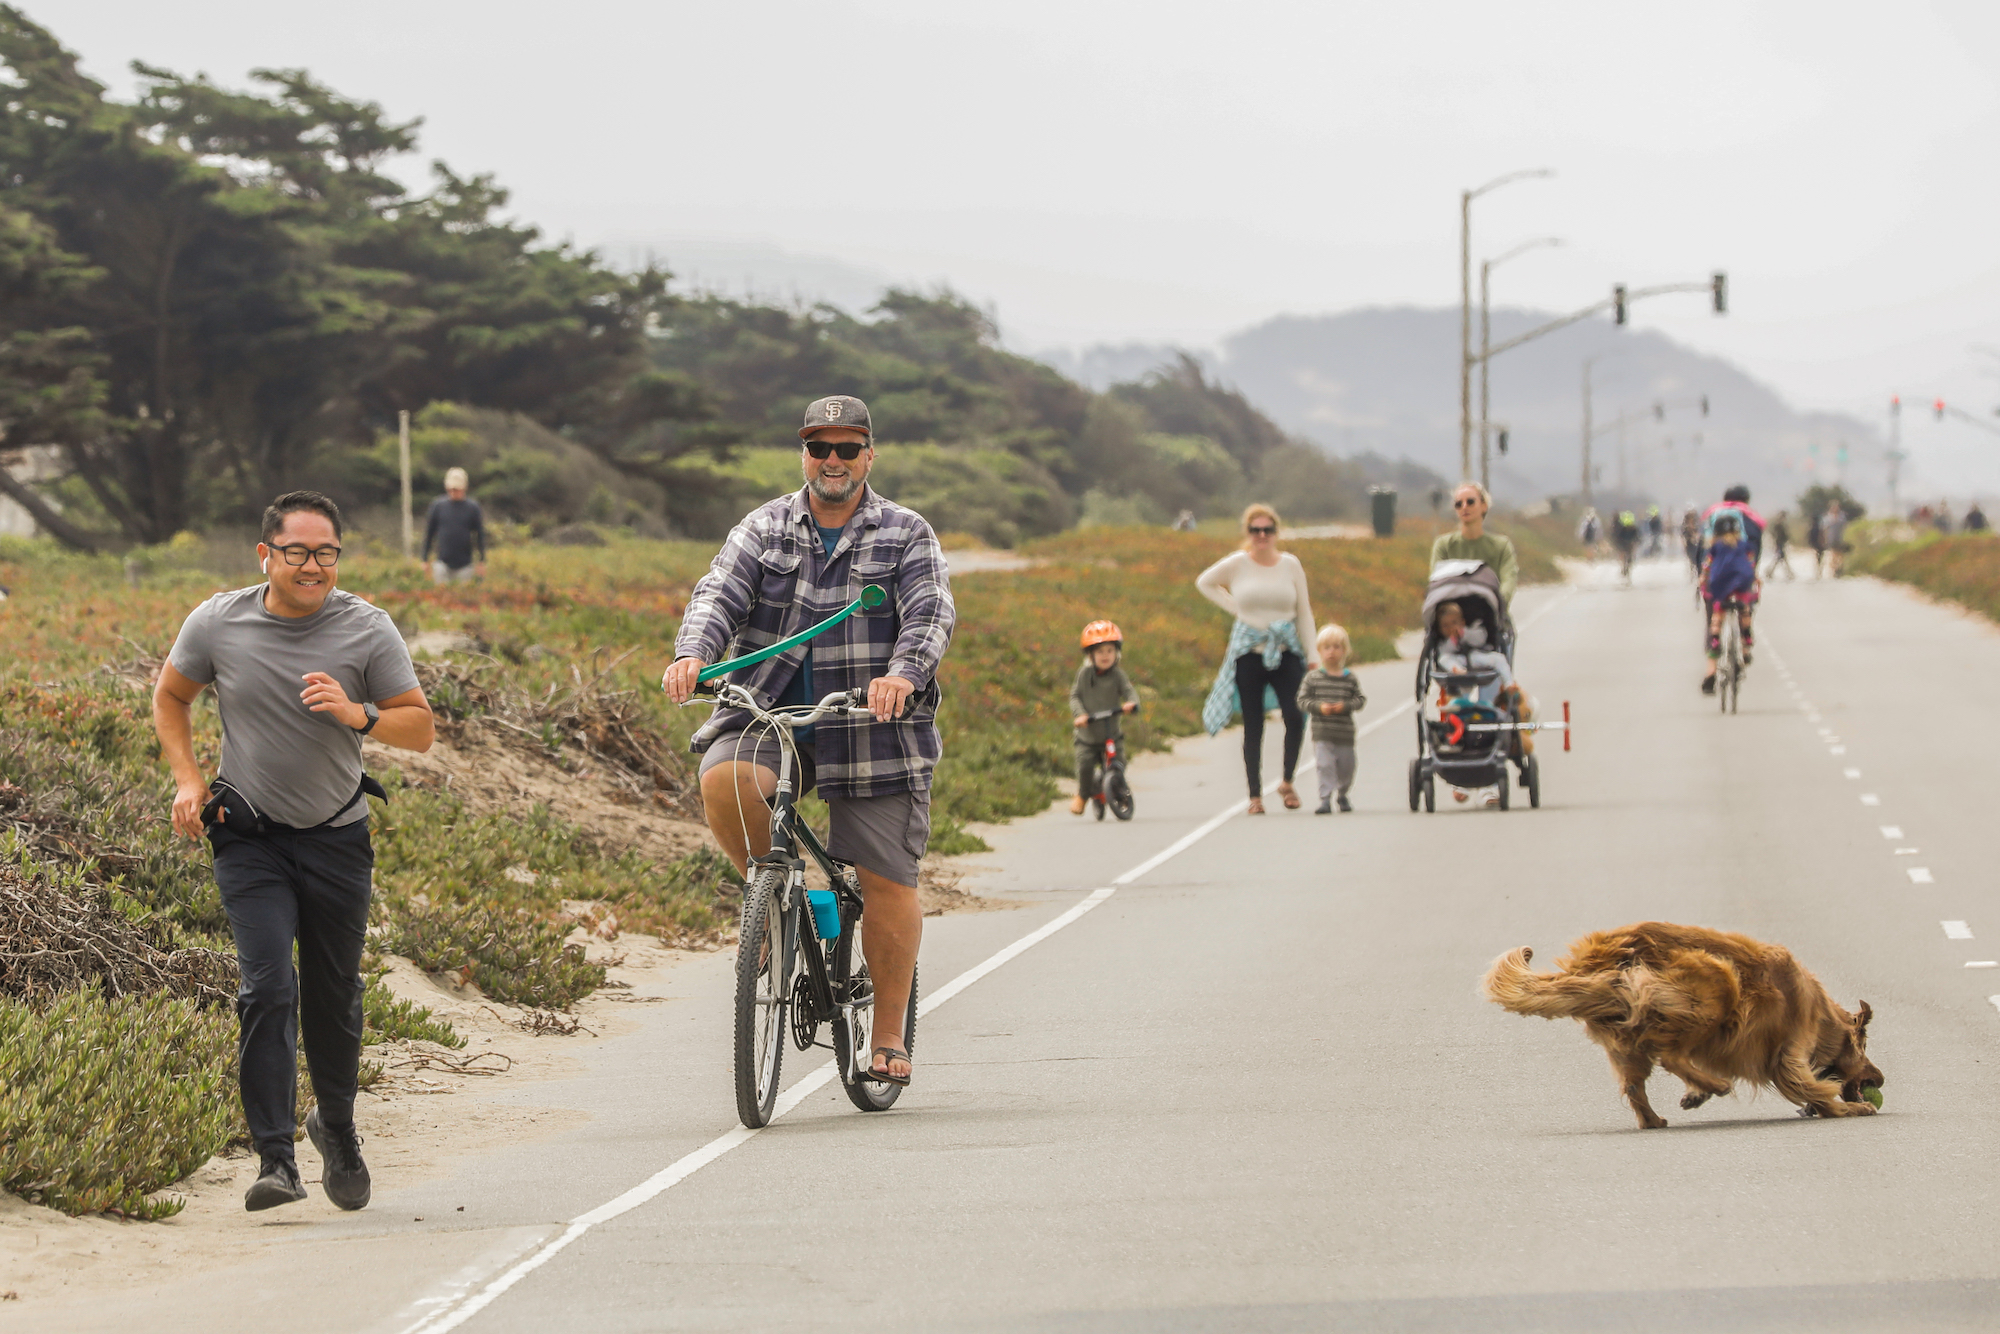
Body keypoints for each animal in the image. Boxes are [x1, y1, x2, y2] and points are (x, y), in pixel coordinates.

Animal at [1480, 924, 1880, 1136]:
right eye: (1864, 1049)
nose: (1881, 1079)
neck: (1822, 1015)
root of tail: (1601, 959)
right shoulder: (1789, 1054)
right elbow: (1812, 1087)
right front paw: (1848, 1109)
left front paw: (1693, 1095)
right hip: (1718, 983)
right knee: (1671, 1054)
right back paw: (1716, 1085)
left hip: (1627, 1040)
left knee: (1637, 1082)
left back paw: (1656, 1118)